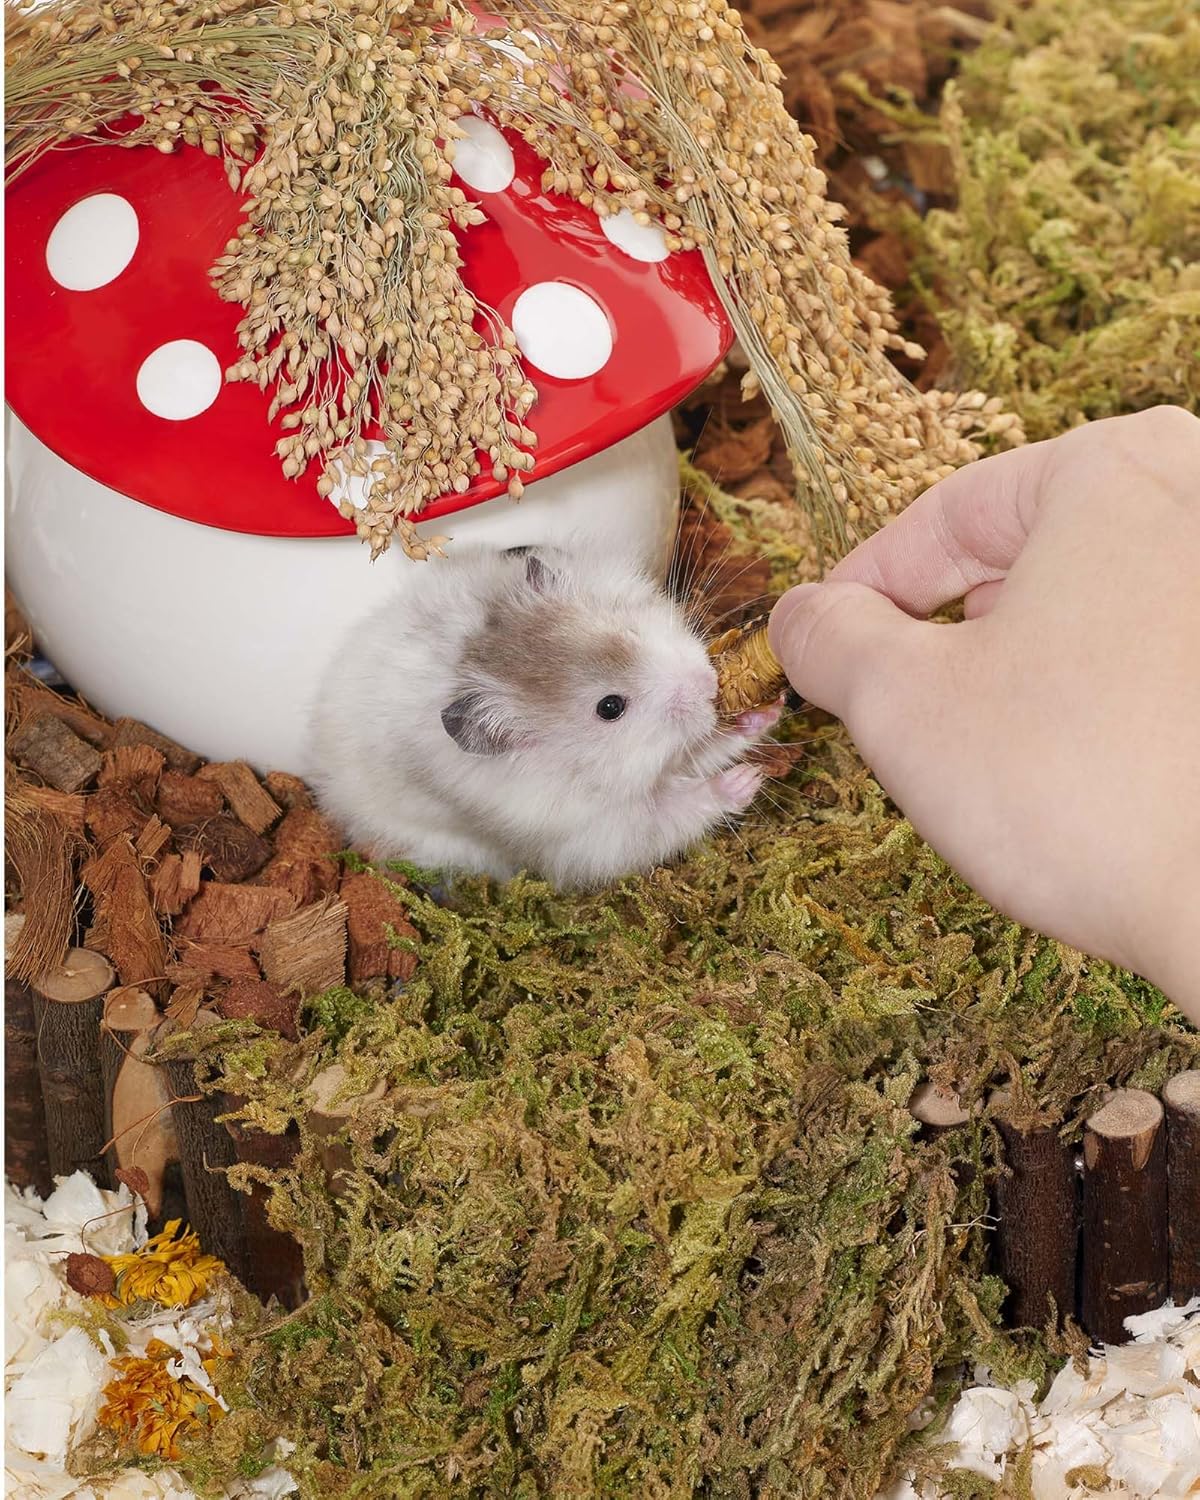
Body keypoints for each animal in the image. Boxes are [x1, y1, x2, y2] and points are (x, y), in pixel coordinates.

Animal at [307, 545, 777, 889]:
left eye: (630, 633)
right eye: (610, 708)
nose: (708, 684)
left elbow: (708, 746)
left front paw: (765, 713)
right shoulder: (592, 836)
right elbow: (672, 813)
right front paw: (746, 780)